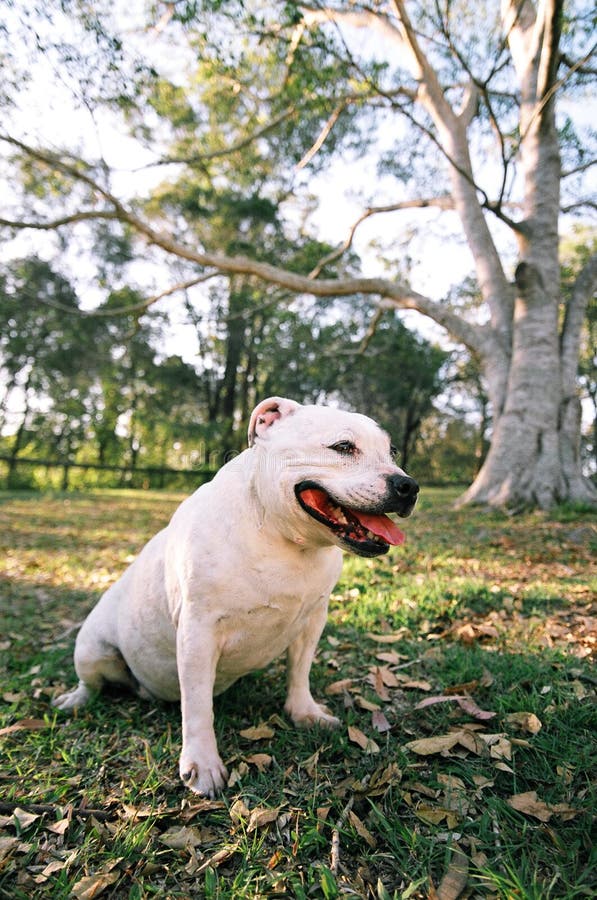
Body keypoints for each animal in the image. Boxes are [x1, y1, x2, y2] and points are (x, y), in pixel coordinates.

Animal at [54, 398, 420, 792]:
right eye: (343, 447)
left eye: (391, 451)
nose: (407, 484)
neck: (280, 537)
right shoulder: (198, 633)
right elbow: (197, 706)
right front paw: (202, 763)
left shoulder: (312, 621)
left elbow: (299, 671)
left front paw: (303, 711)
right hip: (91, 650)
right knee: (91, 682)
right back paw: (75, 699)